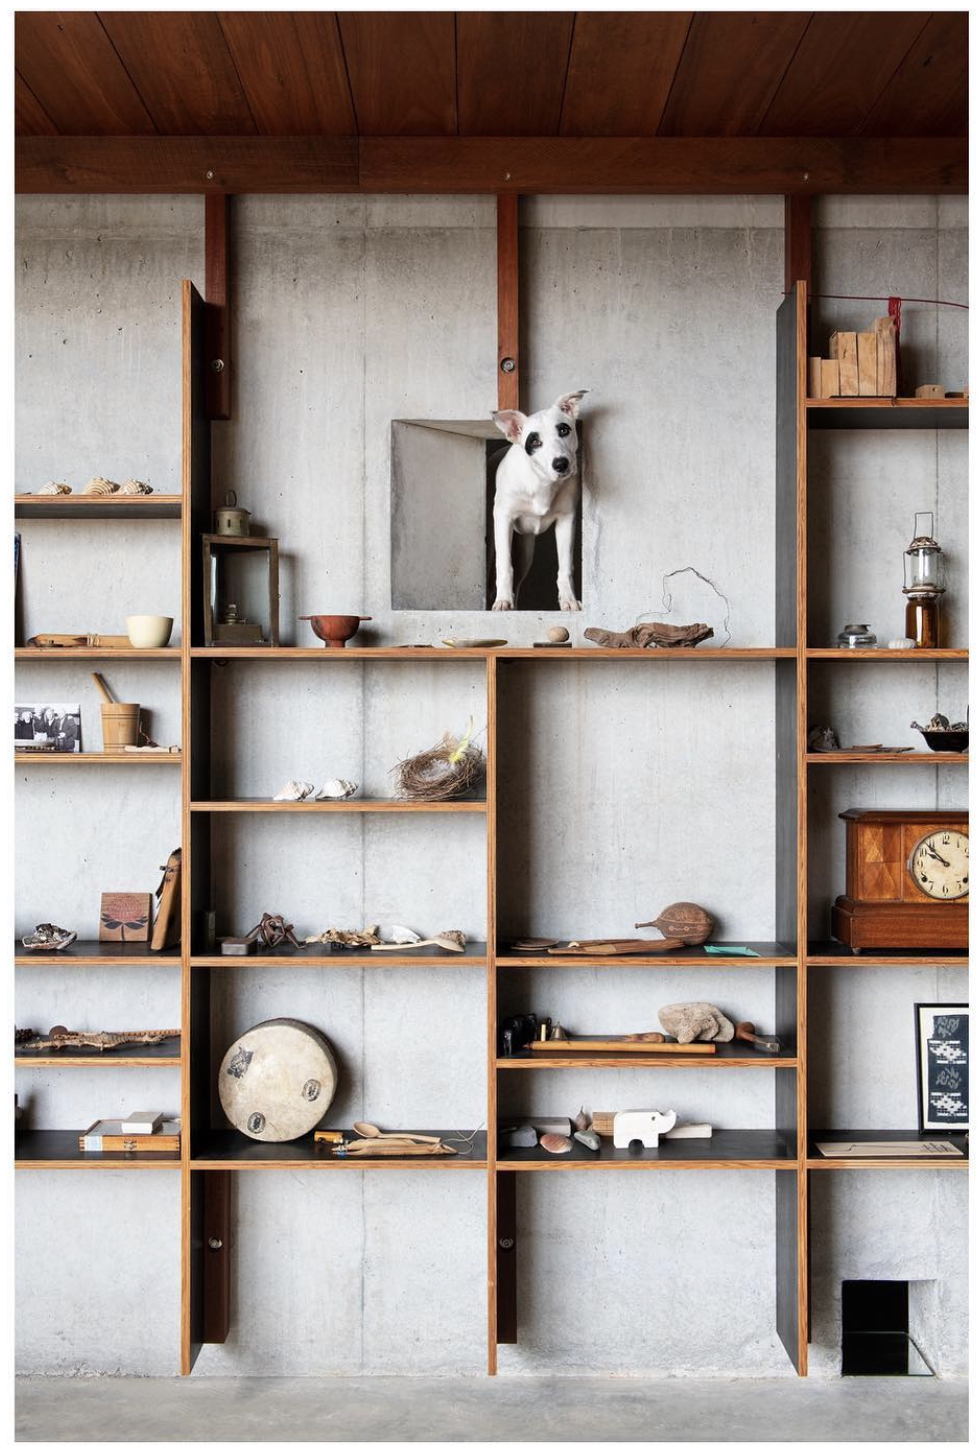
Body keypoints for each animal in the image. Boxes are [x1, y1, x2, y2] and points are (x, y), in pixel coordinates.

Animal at [485, 389, 584, 610]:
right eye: (535, 443)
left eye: (564, 430)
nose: (561, 464)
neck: (541, 482)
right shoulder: (503, 518)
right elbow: (504, 565)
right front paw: (502, 600)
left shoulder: (566, 520)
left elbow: (565, 567)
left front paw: (568, 600)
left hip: (526, 551)